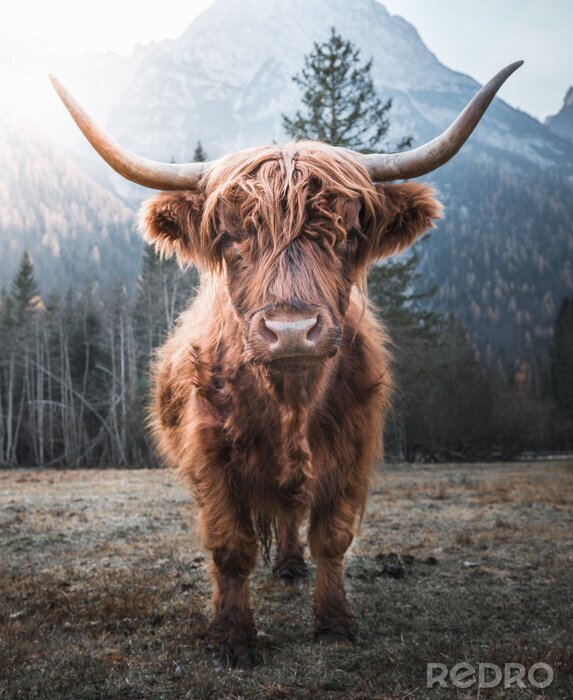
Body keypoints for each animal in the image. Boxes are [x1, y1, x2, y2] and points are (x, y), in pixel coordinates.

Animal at [51, 61, 522, 668]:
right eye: (230, 235)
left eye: (348, 233)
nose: (292, 331)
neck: (290, 402)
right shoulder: (212, 456)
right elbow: (231, 547)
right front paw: (231, 638)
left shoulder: (351, 450)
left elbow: (332, 538)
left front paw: (336, 622)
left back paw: (293, 567)